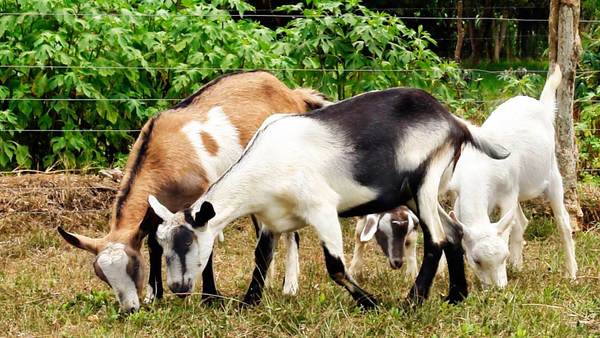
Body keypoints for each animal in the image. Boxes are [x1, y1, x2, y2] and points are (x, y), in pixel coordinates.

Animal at [56, 71, 328, 312]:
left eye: (133, 268)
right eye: (102, 275)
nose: (129, 309)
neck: (162, 154)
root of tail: (292, 93)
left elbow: (206, 248)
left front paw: (210, 297)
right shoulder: (159, 207)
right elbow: (154, 244)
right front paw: (154, 296)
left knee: (292, 234)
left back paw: (289, 287)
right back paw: (270, 282)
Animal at [148, 88, 508, 308]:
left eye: (188, 242)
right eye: (161, 244)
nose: (178, 287)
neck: (266, 164)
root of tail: (453, 121)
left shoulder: (321, 208)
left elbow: (335, 266)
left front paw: (372, 303)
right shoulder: (270, 220)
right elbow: (261, 260)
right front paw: (248, 303)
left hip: (425, 181)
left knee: (436, 239)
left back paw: (412, 302)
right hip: (412, 195)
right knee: (453, 233)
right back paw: (456, 296)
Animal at [440, 65, 576, 288]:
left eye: (502, 257)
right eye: (476, 260)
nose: (498, 288)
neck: (480, 170)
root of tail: (542, 106)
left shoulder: (508, 192)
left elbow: (508, 229)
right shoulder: (457, 192)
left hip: (552, 173)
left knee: (563, 222)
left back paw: (571, 273)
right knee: (521, 221)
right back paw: (518, 265)